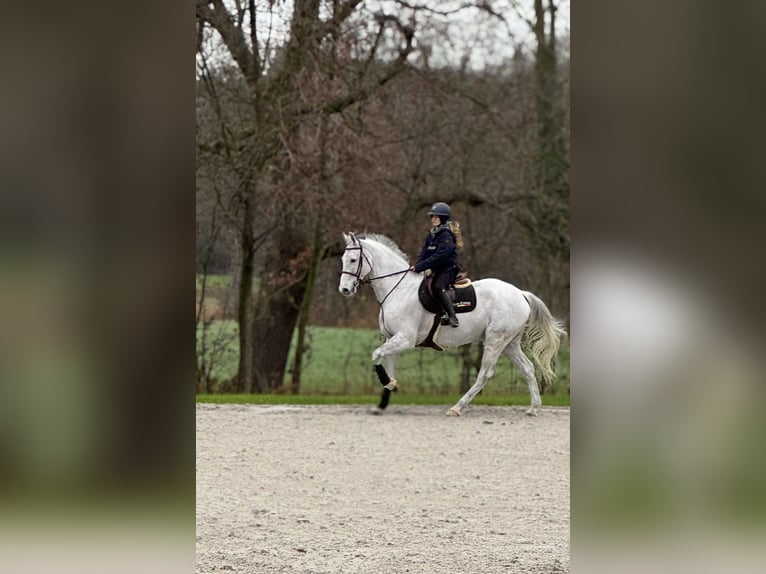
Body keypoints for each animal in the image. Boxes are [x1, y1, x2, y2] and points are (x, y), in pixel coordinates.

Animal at [338, 232, 566, 416]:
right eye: (343, 259)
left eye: (353, 259)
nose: (345, 290)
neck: (398, 289)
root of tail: (520, 293)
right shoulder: (392, 339)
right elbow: (388, 364)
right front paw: (385, 397)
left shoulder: (405, 339)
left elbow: (375, 355)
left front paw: (387, 383)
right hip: (510, 343)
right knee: (527, 368)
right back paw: (533, 408)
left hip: (495, 340)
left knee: (485, 374)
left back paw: (457, 407)